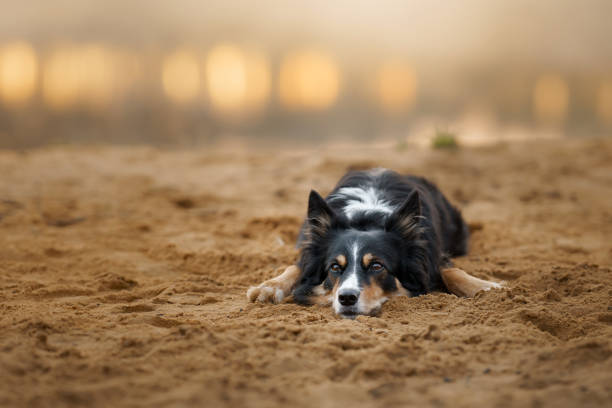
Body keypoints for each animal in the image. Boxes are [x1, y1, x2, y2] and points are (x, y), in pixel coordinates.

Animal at [246, 167, 500, 318]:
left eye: (377, 266)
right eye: (334, 267)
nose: (346, 298)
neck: (366, 218)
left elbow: (450, 271)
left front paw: (488, 287)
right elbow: (295, 267)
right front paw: (269, 286)